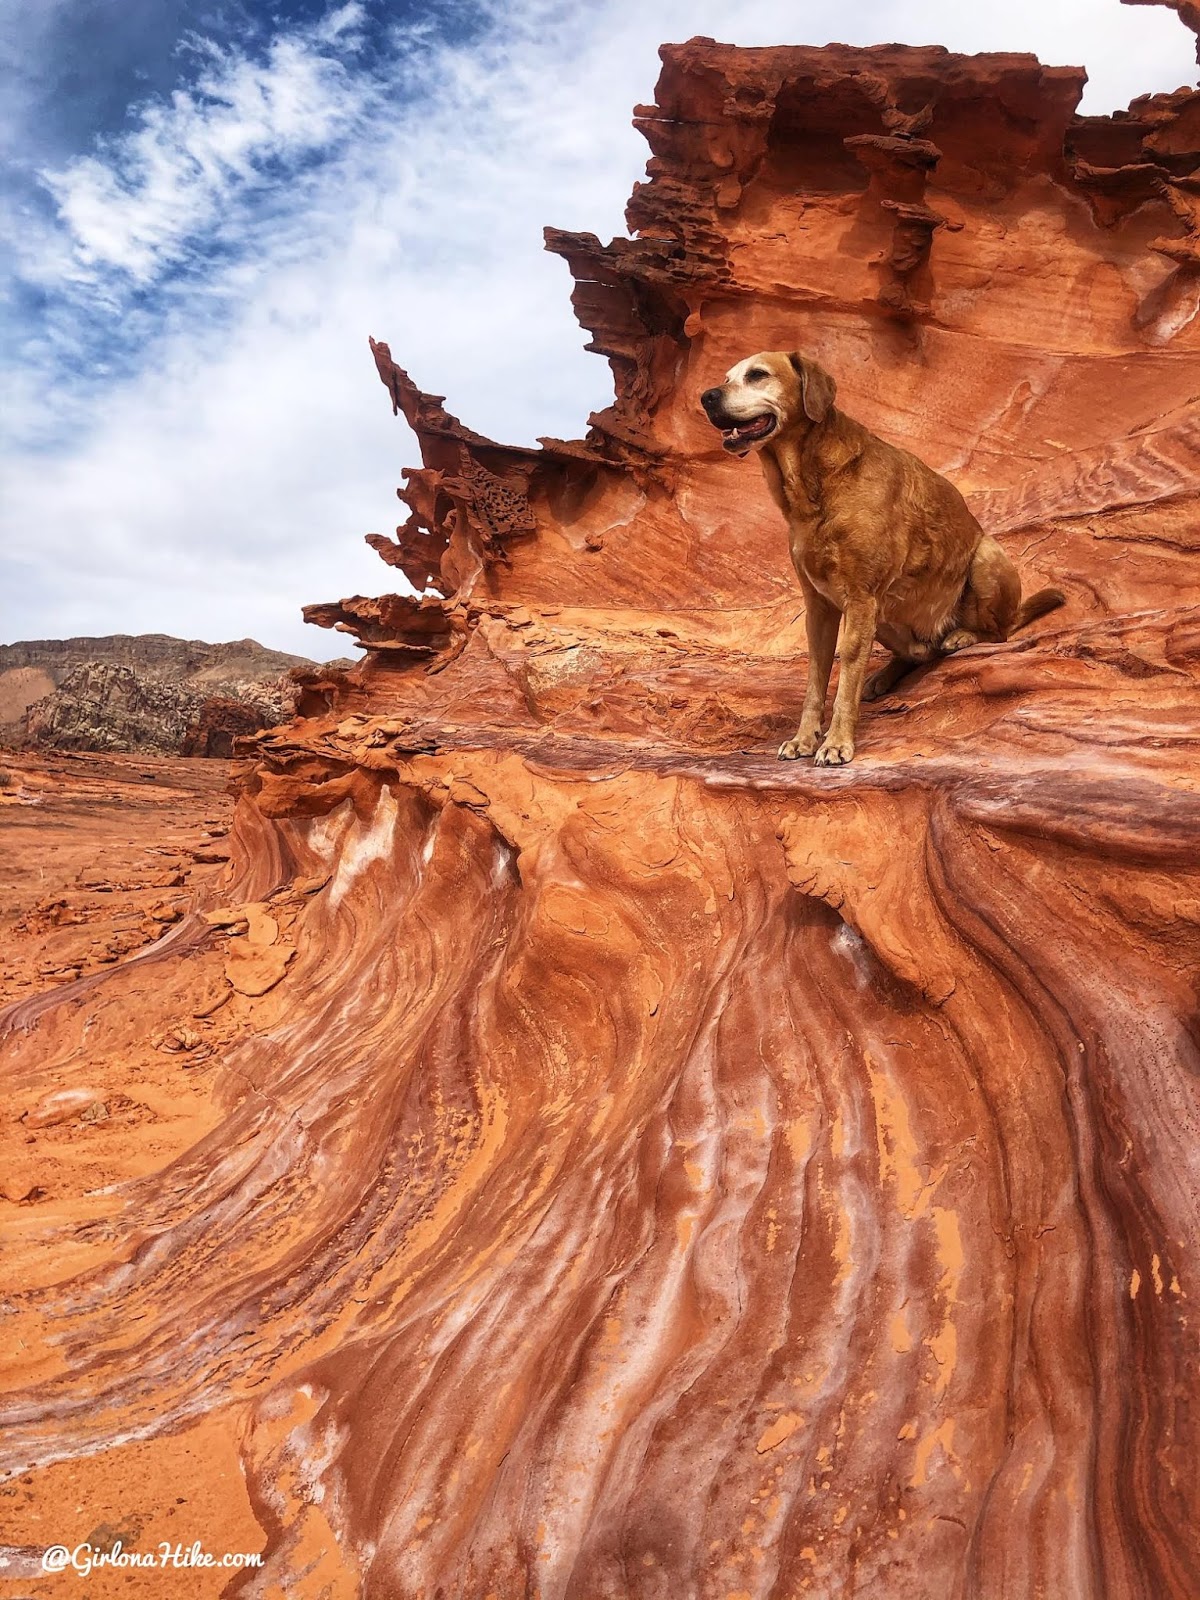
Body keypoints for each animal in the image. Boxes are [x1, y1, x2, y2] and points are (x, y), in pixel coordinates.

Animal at [700, 353, 1068, 764]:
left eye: (757, 375)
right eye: (725, 378)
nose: (706, 397)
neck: (812, 486)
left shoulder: (860, 599)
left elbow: (845, 677)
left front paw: (836, 742)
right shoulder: (820, 608)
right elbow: (816, 680)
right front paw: (804, 738)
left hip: (984, 557)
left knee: (996, 633)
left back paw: (961, 637)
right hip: (887, 616)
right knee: (917, 655)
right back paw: (886, 674)